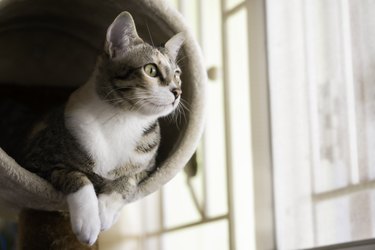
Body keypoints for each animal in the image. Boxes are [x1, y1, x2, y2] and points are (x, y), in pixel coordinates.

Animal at [18, 11, 185, 244]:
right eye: (151, 69)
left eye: (177, 73)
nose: (178, 91)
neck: (122, 119)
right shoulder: (36, 158)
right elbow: (76, 176)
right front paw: (88, 223)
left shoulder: (149, 168)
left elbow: (127, 179)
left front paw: (105, 212)